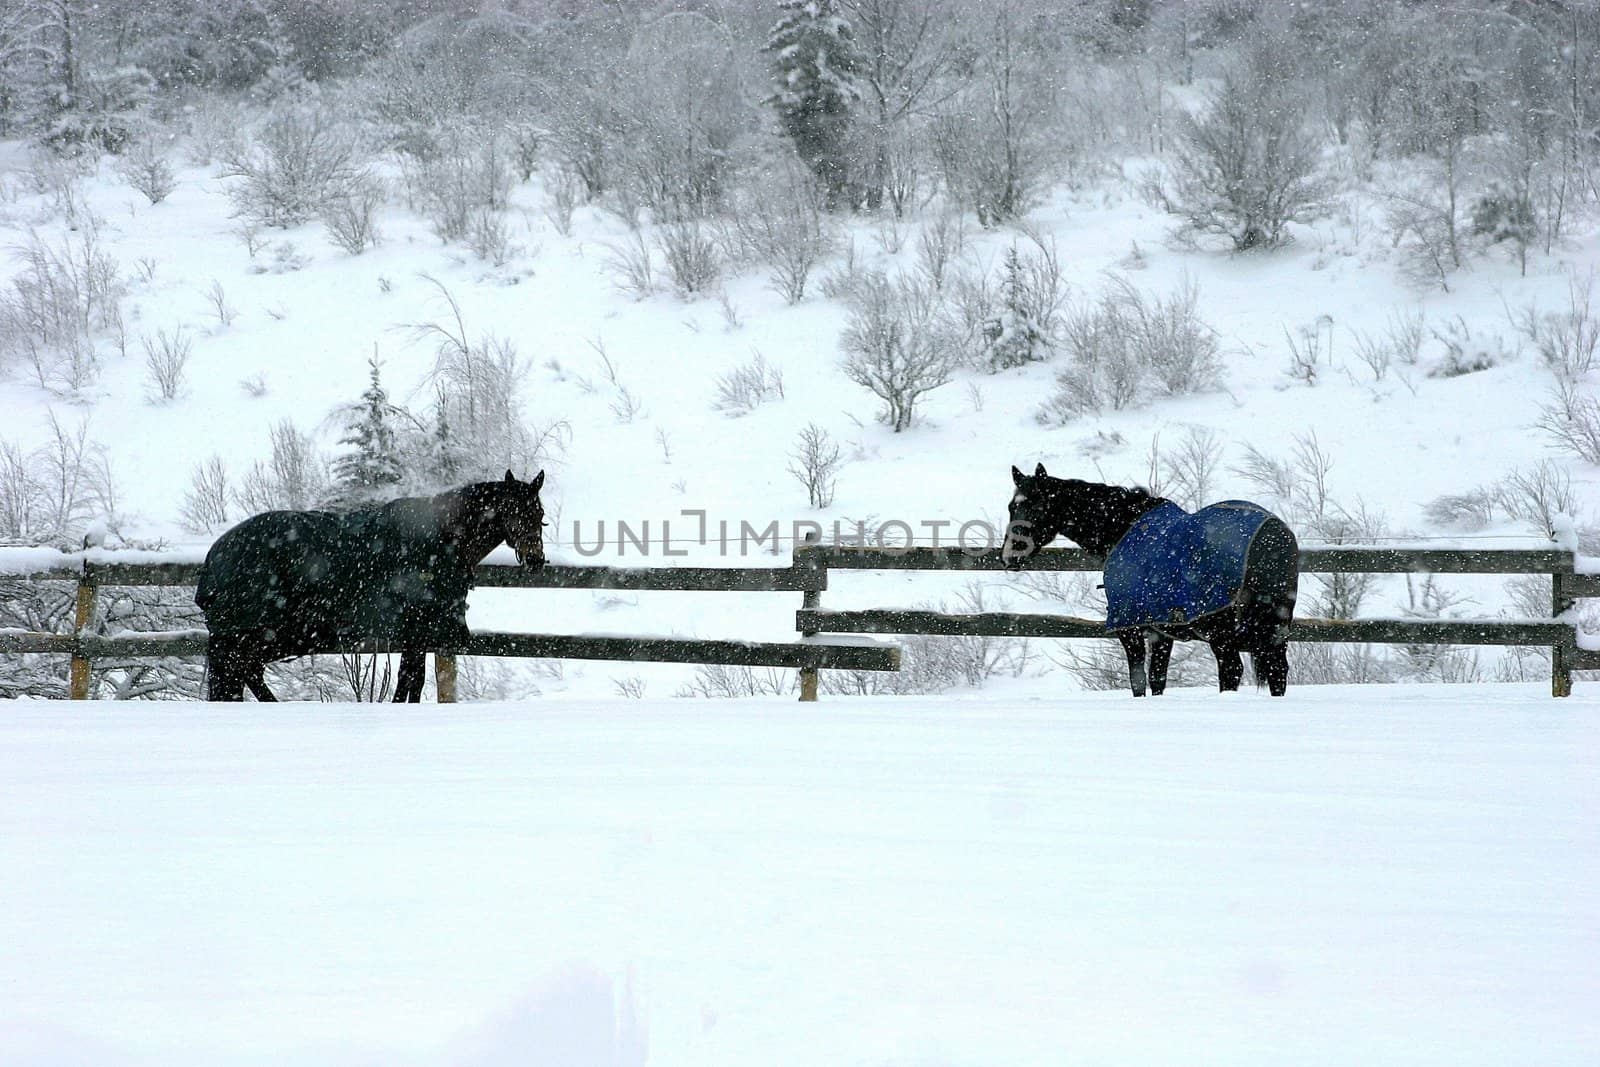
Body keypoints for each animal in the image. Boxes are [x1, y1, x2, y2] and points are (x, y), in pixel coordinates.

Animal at [196, 470, 547, 703]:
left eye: (539, 513)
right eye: (514, 511)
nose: (535, 559)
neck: (438, 541)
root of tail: (215, 557)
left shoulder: (417, 634)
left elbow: (412, 679)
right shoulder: (418, 629)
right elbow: (410, 680)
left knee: (242, 674)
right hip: (257, 635)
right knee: (241, 672)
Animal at [1004, 463, 1292, 697]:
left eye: (1036, 506)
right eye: (1011, 506)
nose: (1009, 556)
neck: (1122, 527)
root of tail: (1271, 534)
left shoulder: (1129, 628)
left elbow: (1138, 680)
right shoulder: (1160, 630)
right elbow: (1157, 678)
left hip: (1220, 632)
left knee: (1232, 670)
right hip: (1276, 630)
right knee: (1277, 670)